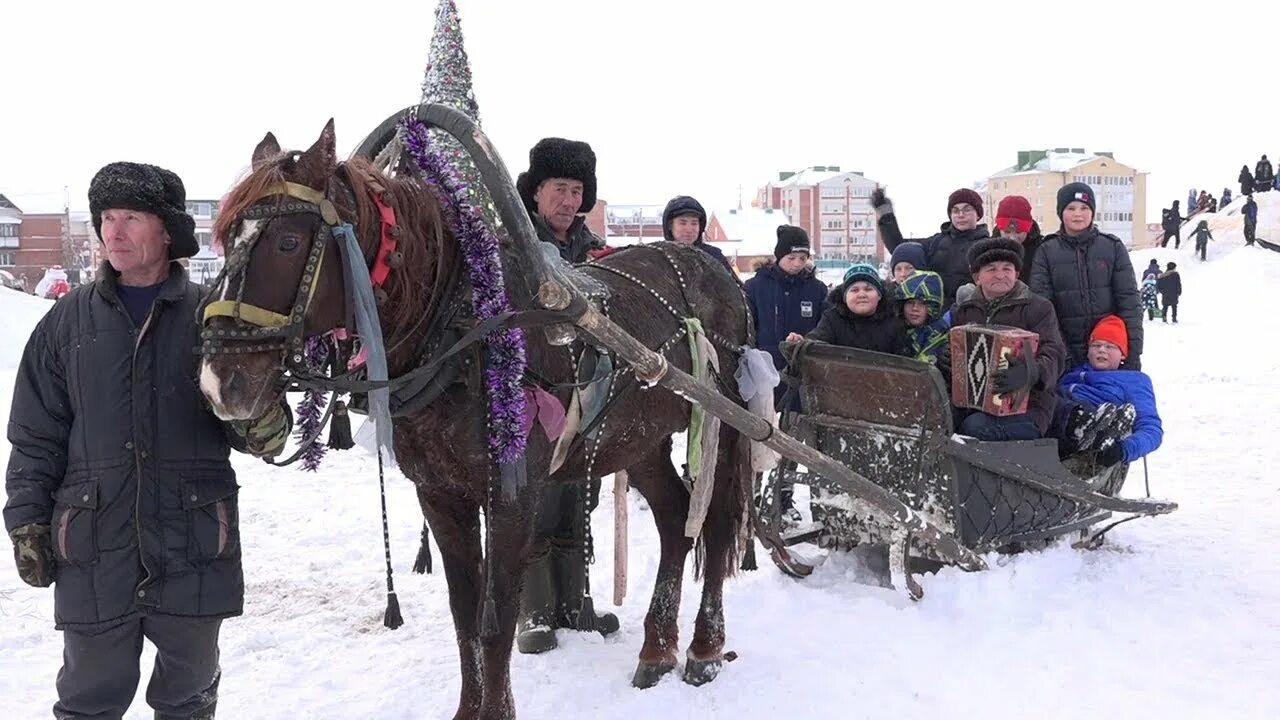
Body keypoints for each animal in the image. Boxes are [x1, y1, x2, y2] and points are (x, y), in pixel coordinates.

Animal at [197, 122, 747, 717]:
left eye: (288, 243)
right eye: (225, 238)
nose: (219, 383)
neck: (458, 332)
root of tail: (715, 267)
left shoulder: (511, 497)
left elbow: (496, 623)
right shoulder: (440, 494)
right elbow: (464, 619)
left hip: (722, 423)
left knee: (716, 523)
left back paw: (704, 647)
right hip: (639, 438)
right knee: (673, 519)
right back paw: (657, 646)